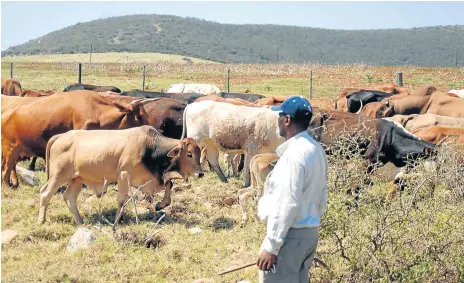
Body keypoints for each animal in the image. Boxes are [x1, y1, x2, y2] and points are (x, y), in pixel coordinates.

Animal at [0, 91, 155, 189]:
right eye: (139, 116)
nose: (151, 130)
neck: (97, 111)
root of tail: (7, 113)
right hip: (10, 150)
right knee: (6, 170)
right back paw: (9, 186)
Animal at [37, 126, 202, 226]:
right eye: (189, 154)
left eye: (200, 153)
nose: (200, 173)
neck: (150, 148)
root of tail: (59, 136)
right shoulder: (123, 176)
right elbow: (121, 200)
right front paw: (117, 221)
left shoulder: (148, 180)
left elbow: (169, 185)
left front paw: (159, 205)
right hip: (59, 176)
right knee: (45, 193)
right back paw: (41, 220)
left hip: (76, 179)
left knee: (69, 197)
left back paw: (80, 221)